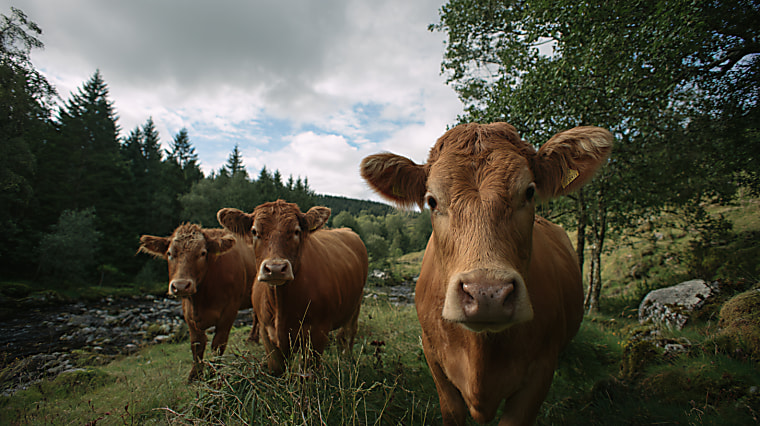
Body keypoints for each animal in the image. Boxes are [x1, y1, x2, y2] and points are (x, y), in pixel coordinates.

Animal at [138, 223, 258, 381]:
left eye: (202, 253)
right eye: (169, 253)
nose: (181, 285)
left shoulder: (229, 311)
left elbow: (218, 344)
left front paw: (214, 373)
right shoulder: (188, 312)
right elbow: (197, 344)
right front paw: (195, 375)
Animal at [217, 200, 369, 376]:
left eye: (296, 231)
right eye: (254, 231)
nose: (275, 268)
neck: (280, 305)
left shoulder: (317, 334)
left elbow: (309, 371)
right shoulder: (267, 334)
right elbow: (277, 369)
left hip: (356, 304)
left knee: (348, 334)